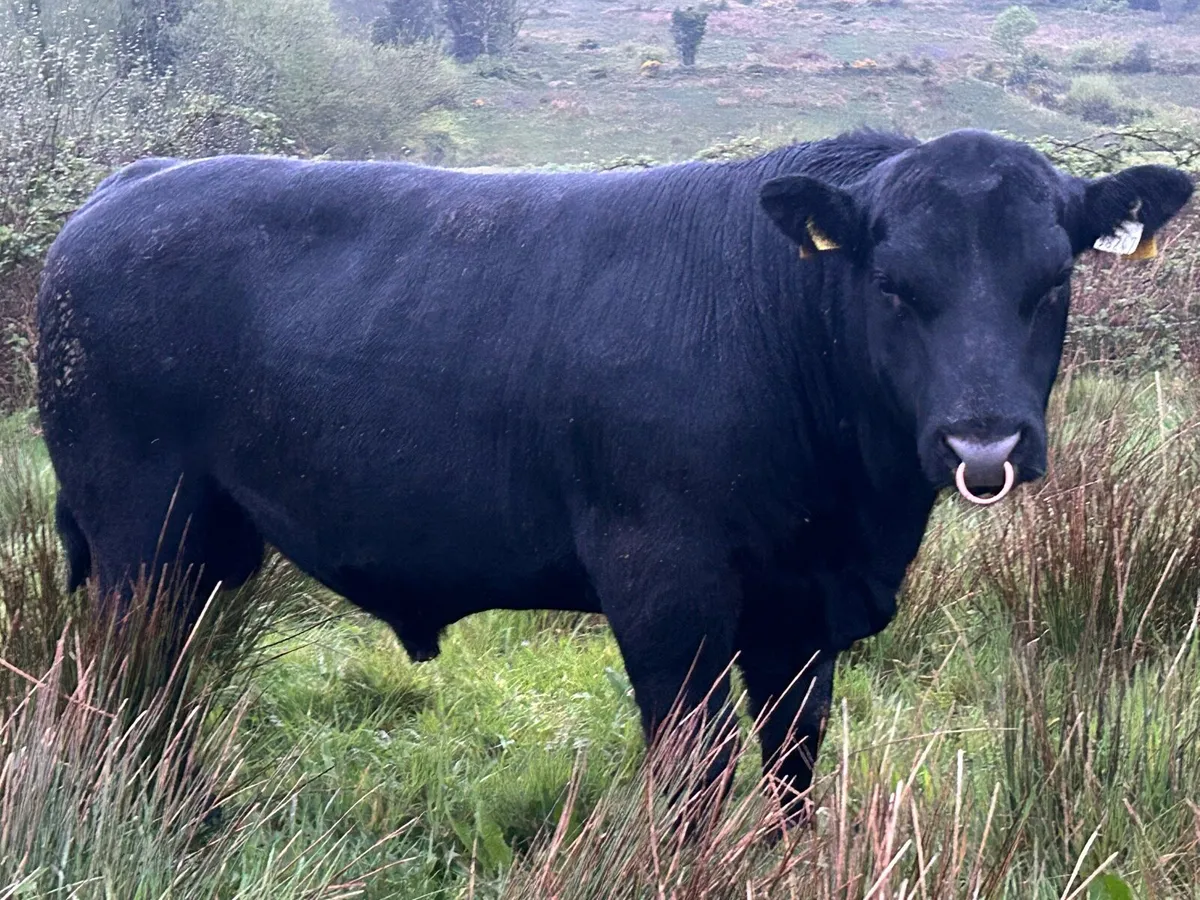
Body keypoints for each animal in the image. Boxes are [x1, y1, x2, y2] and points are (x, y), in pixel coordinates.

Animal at [35, 128, 1193, 822]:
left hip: (200, 550)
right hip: (137, 531)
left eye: (1053, 282)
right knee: (125, 681)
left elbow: (790, 766)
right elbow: (694, 772)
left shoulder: (799, 611)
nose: (981, 446)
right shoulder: (664, 584)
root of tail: (127, 186)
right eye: (895, 286)